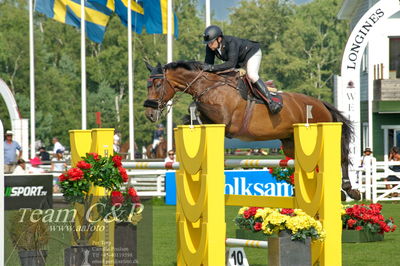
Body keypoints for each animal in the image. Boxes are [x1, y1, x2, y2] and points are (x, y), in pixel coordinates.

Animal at [143, 61, 360, 200]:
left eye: (158, 83)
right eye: (148, 85)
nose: (150, 114)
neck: (208, 86)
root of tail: (322, 104)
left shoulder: (226, 121)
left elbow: (197, 111)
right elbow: (194, 115)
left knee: (341, 157)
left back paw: (349, 190)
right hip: (291, 143)